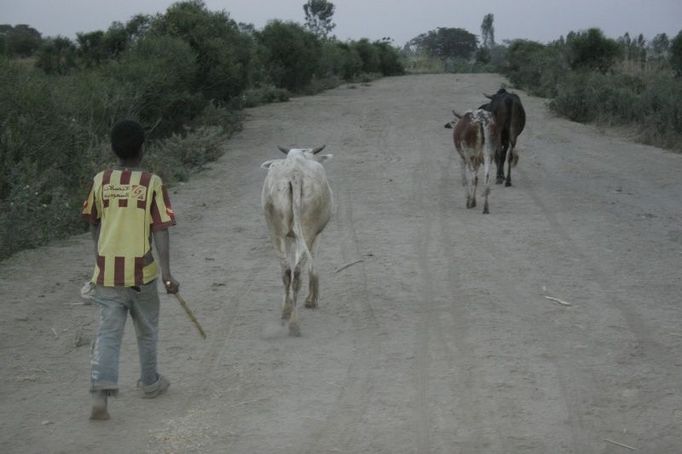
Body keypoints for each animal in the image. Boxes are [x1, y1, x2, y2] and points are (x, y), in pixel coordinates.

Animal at [260, 145, 332, 336]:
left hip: (275, 229)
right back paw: (294, 324)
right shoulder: (317, 234)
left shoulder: (289, 236)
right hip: (307, 228)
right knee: (298, 271)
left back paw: (286, 312)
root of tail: (295, 174)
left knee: (286, 271)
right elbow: (312, 264)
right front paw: (312, 299)